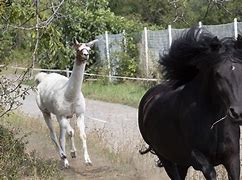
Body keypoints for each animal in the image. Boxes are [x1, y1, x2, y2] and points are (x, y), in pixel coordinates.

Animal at [139, 27, 242, 180]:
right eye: (217, 74)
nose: (237, 113)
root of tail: (148, 100)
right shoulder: (198, 158)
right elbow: (210, 172)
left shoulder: (233, 158)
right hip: (166, 157)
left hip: (180, 162)